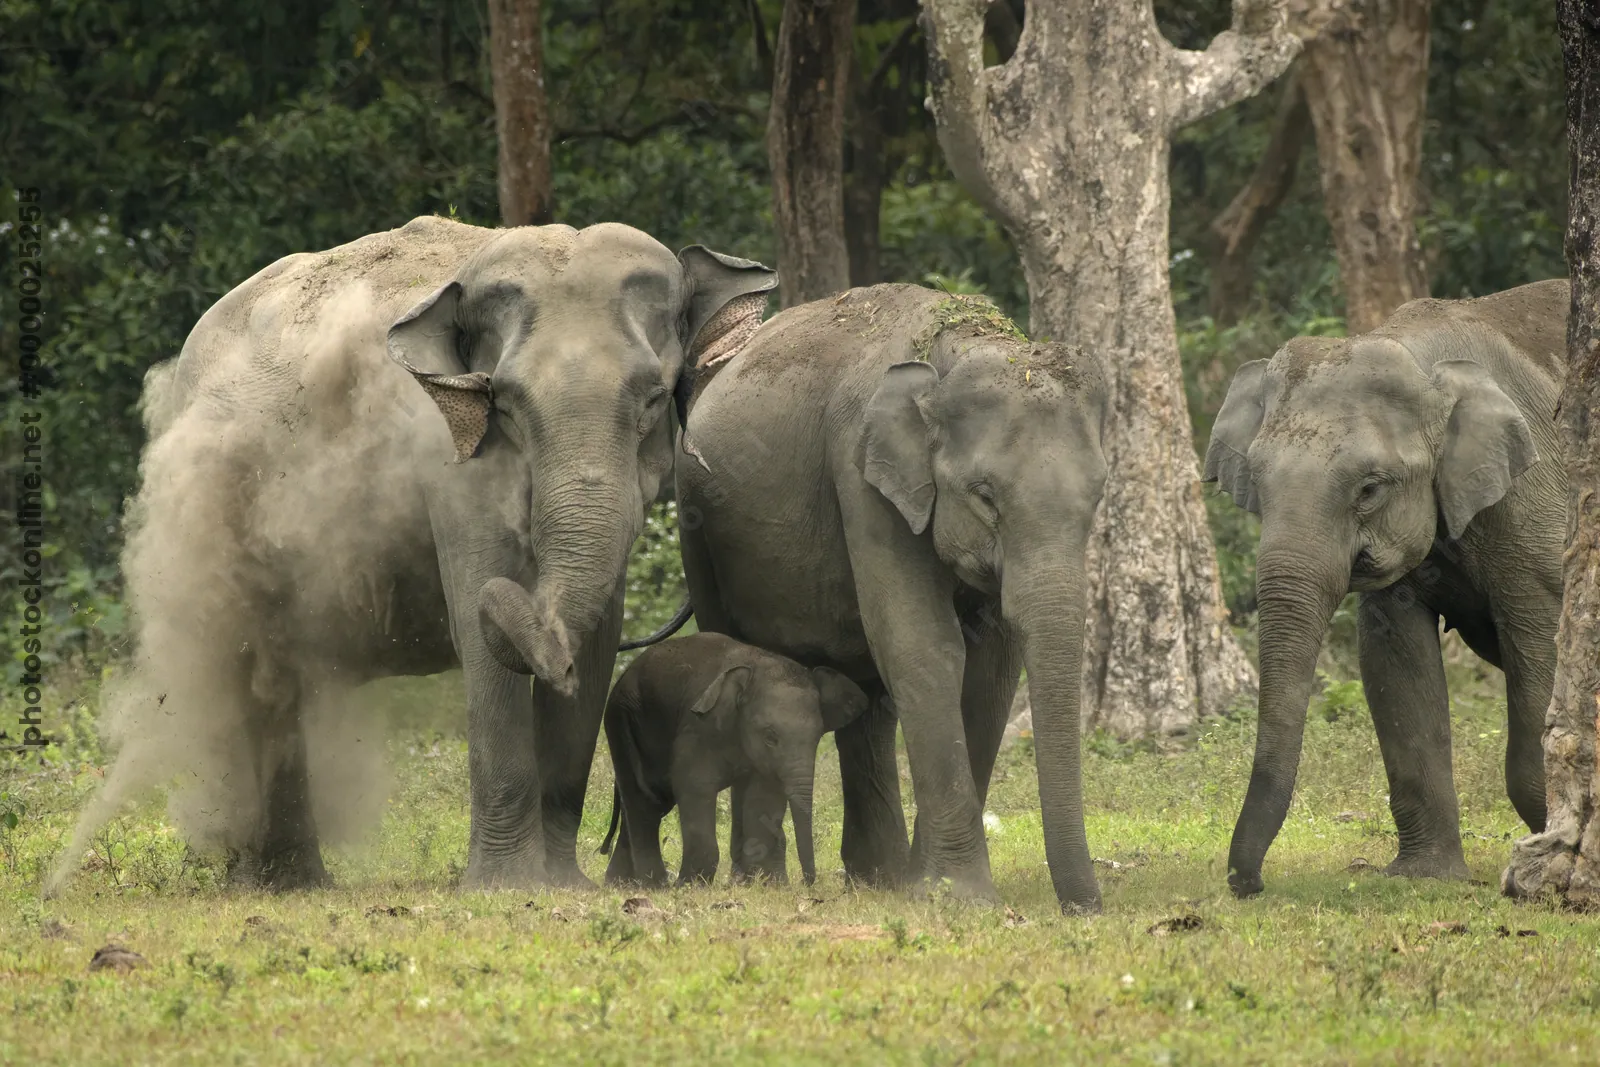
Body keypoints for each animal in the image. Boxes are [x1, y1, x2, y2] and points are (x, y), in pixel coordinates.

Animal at [49, 216, 775, 894]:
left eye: (653, 397)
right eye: (504, 401)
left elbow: (594, 642)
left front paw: (564, 884)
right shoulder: (448, 464)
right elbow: (481, 631)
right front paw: (505, 888)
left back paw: (289, 880)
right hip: (220, 515)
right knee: (254, 669)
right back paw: (273, 881)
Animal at [598, 632, 868, 886]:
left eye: (817, 737)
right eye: (770, 737)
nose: (806, 882)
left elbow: (762, 797)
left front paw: (764, 884)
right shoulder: (698, 727)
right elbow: (694, 786)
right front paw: (691, 886)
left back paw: (621, 884)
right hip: (622, 718)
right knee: (645, 800)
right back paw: (653, 886)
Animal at [675, 283, 1109, 911]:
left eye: (1098, 495)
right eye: (984, 495)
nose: (1086, 908)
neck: (953, 349)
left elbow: (990, 669)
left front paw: (928, 886)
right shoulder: (861, 472)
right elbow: (923, 644)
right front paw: (962, 896)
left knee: (868, 698)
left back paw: (878, 877)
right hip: (698, 530)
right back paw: (761, 878)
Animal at [1204, 279, 1568, 898]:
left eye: (1370, 489)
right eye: (1255, 480)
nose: (1250, 885)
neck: (1421, 355)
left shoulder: (1535, 508)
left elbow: (1541, 655)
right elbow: (1395, 664)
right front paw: (1425, 877)